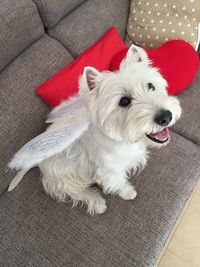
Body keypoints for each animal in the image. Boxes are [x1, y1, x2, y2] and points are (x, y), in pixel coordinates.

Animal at [9, 45, 181, 216]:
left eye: (151, 86)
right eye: (124, 101)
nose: (165, 117)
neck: (122, 138)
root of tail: (37, 162)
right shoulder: (109, 170)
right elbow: (118, 182)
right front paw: (128, 193)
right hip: (61, 178)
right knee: (74, 192)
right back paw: (97, 203)